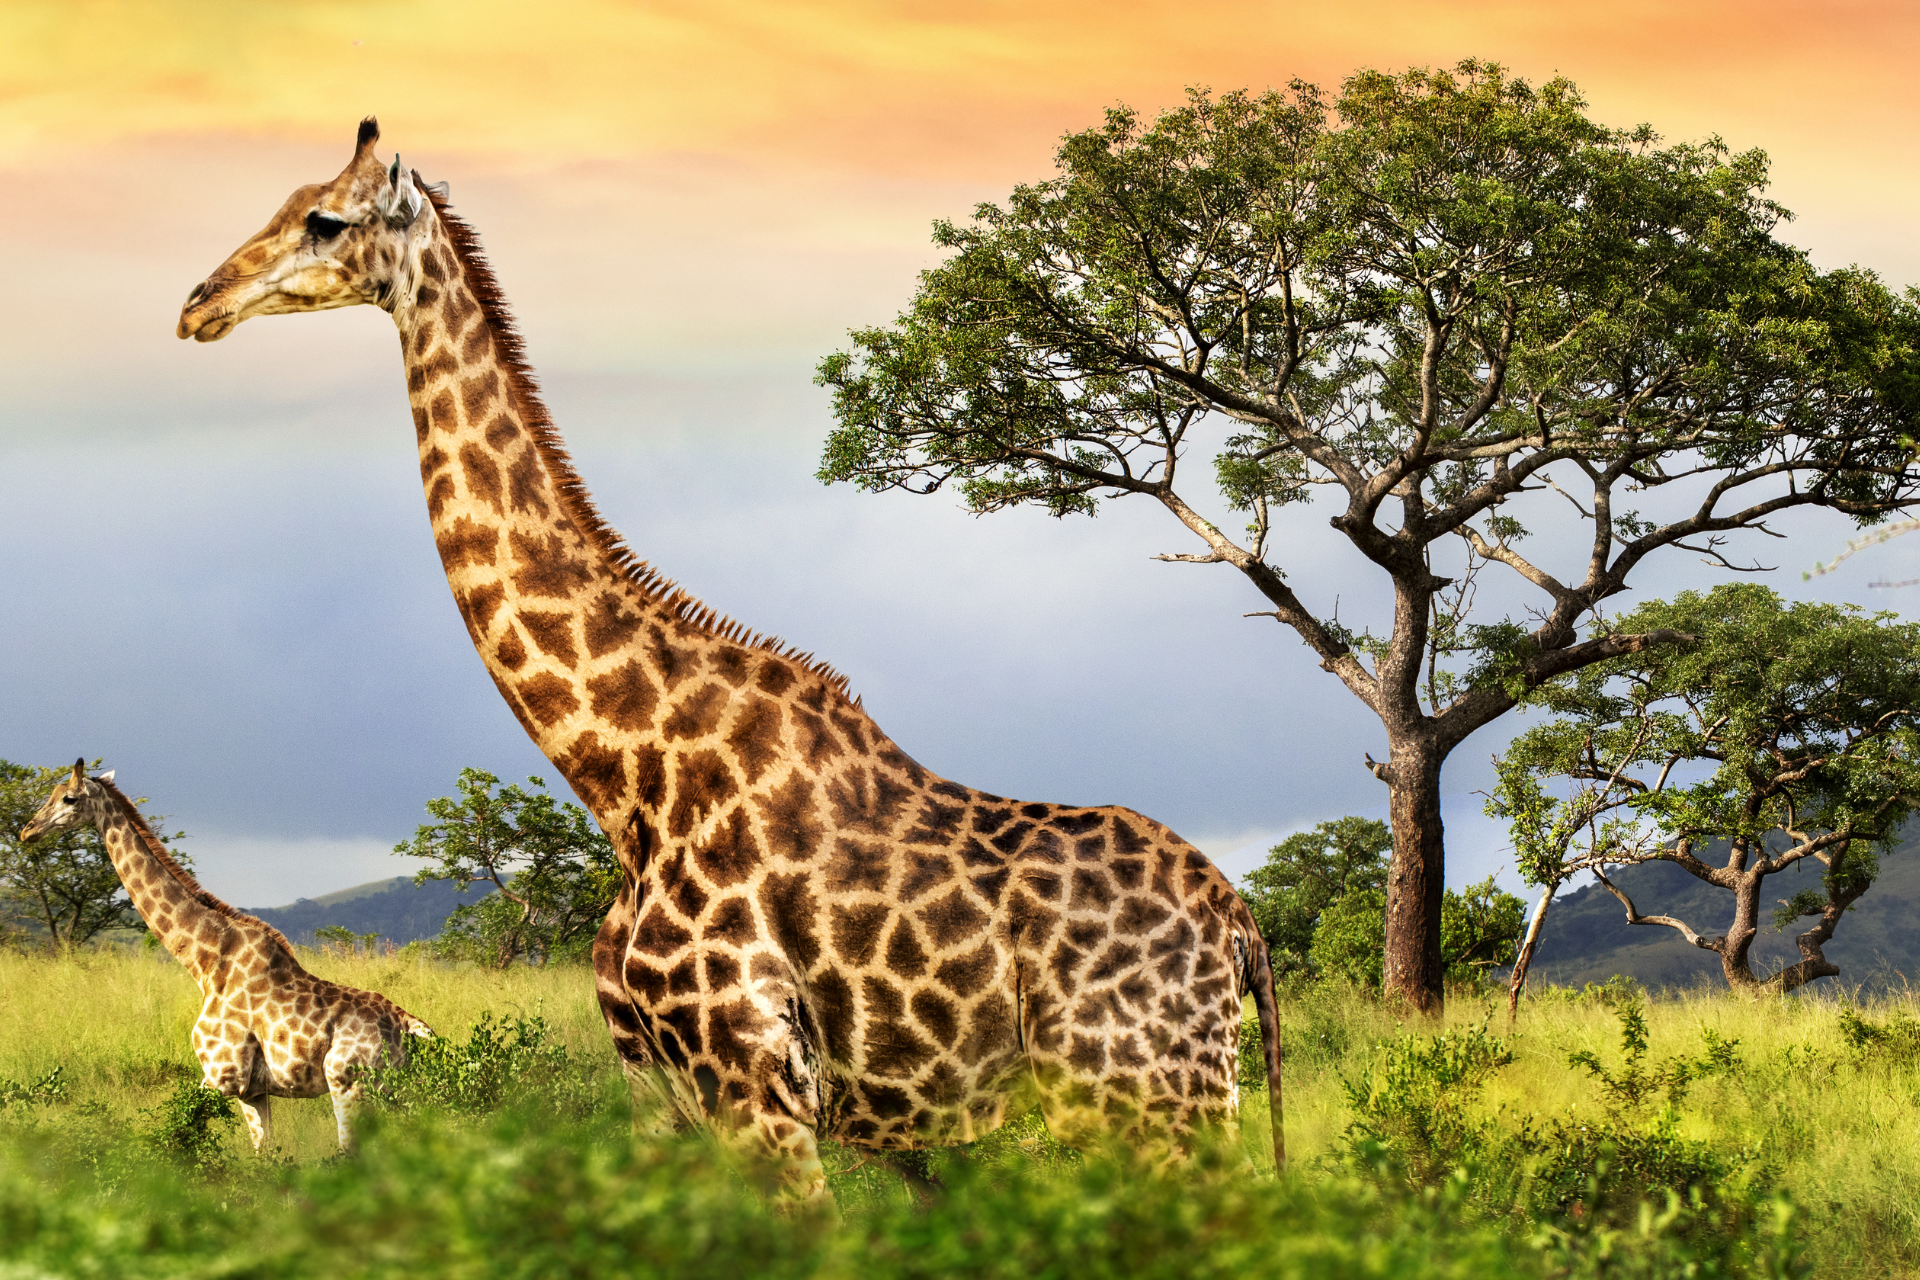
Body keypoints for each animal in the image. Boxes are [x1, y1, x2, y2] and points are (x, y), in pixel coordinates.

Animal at [19, 760, 433, 1151]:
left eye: (68, 798)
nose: (28, 830)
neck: (204, 962)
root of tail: (407, 1024)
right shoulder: (254, 1090)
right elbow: (265, 1153)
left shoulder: (223, 1075)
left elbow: (176, 1131)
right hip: (395, 1093)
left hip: (349, 1085)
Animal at [175, 119, 1286, 1198]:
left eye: (323, 220)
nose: (199, 302)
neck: (624, 775)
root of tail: (1239, 921)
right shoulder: (661, 1088)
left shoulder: (758, 1077)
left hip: (1150, 1090)